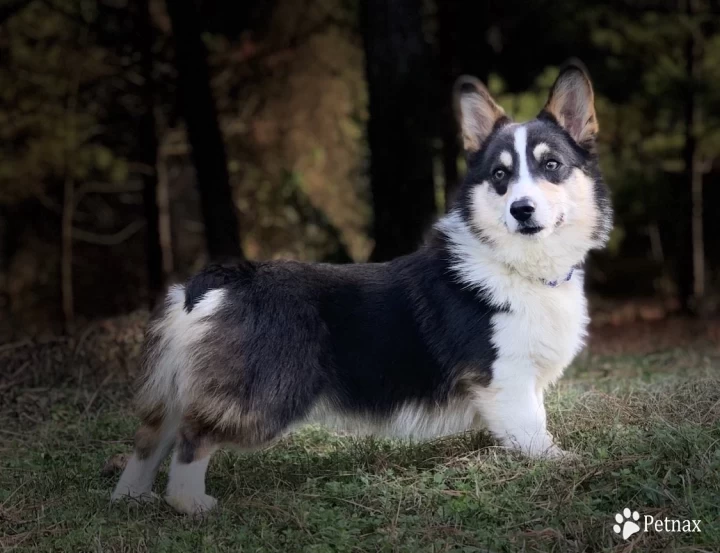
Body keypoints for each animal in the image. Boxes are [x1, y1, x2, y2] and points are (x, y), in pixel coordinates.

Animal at [112, 62, 612, 516]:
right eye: (500, 176)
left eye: (552, 166)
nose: (521, 210)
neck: (517, 264)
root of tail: (222, 279)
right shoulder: (505, 376)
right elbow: (532, 431)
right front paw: (562, 462)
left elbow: (532, 423)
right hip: (263, 398)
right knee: (192, 436)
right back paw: (190, 503)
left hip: (180, 384)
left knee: (151, 435)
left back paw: (132, 496)